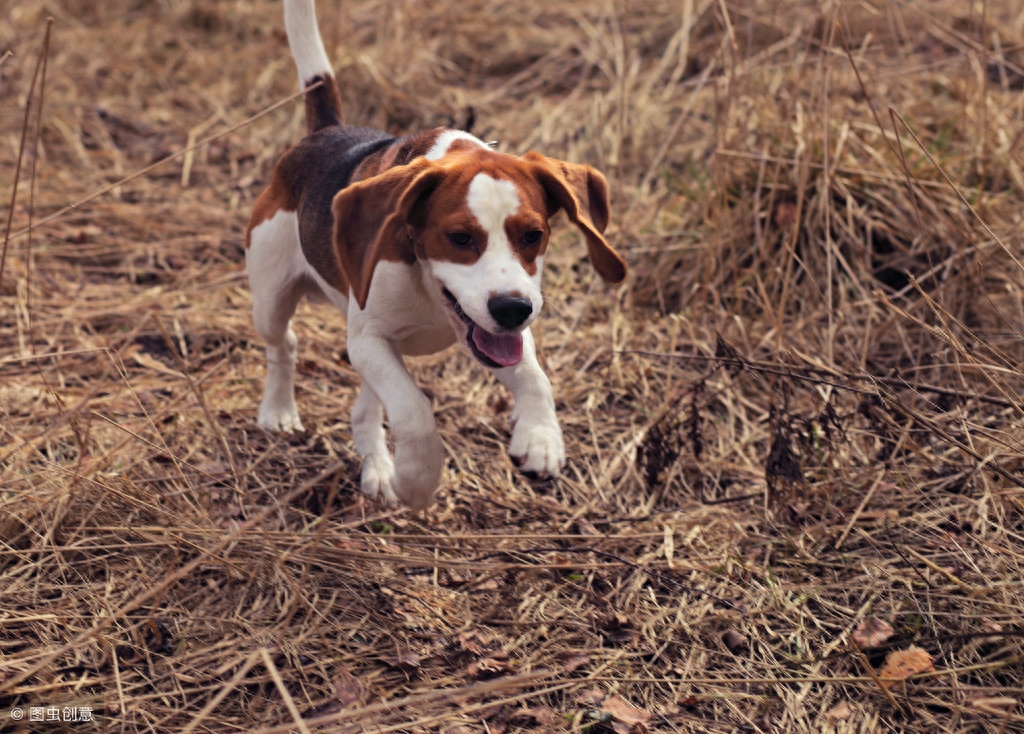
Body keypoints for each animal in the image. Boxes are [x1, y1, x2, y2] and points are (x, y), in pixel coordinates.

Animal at [247, 0, 626, 507]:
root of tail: (328, 132)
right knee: (283, 343)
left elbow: (533, 377)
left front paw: (540, 437)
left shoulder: (492, 331)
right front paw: (417, 478)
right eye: (460, 237)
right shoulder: (370, 340)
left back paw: (375, 465)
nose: (513, 309)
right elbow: (414, 412)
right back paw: (280, 410)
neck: (426, 284)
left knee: (364, 408)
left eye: (533, 235)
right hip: (272, 298)